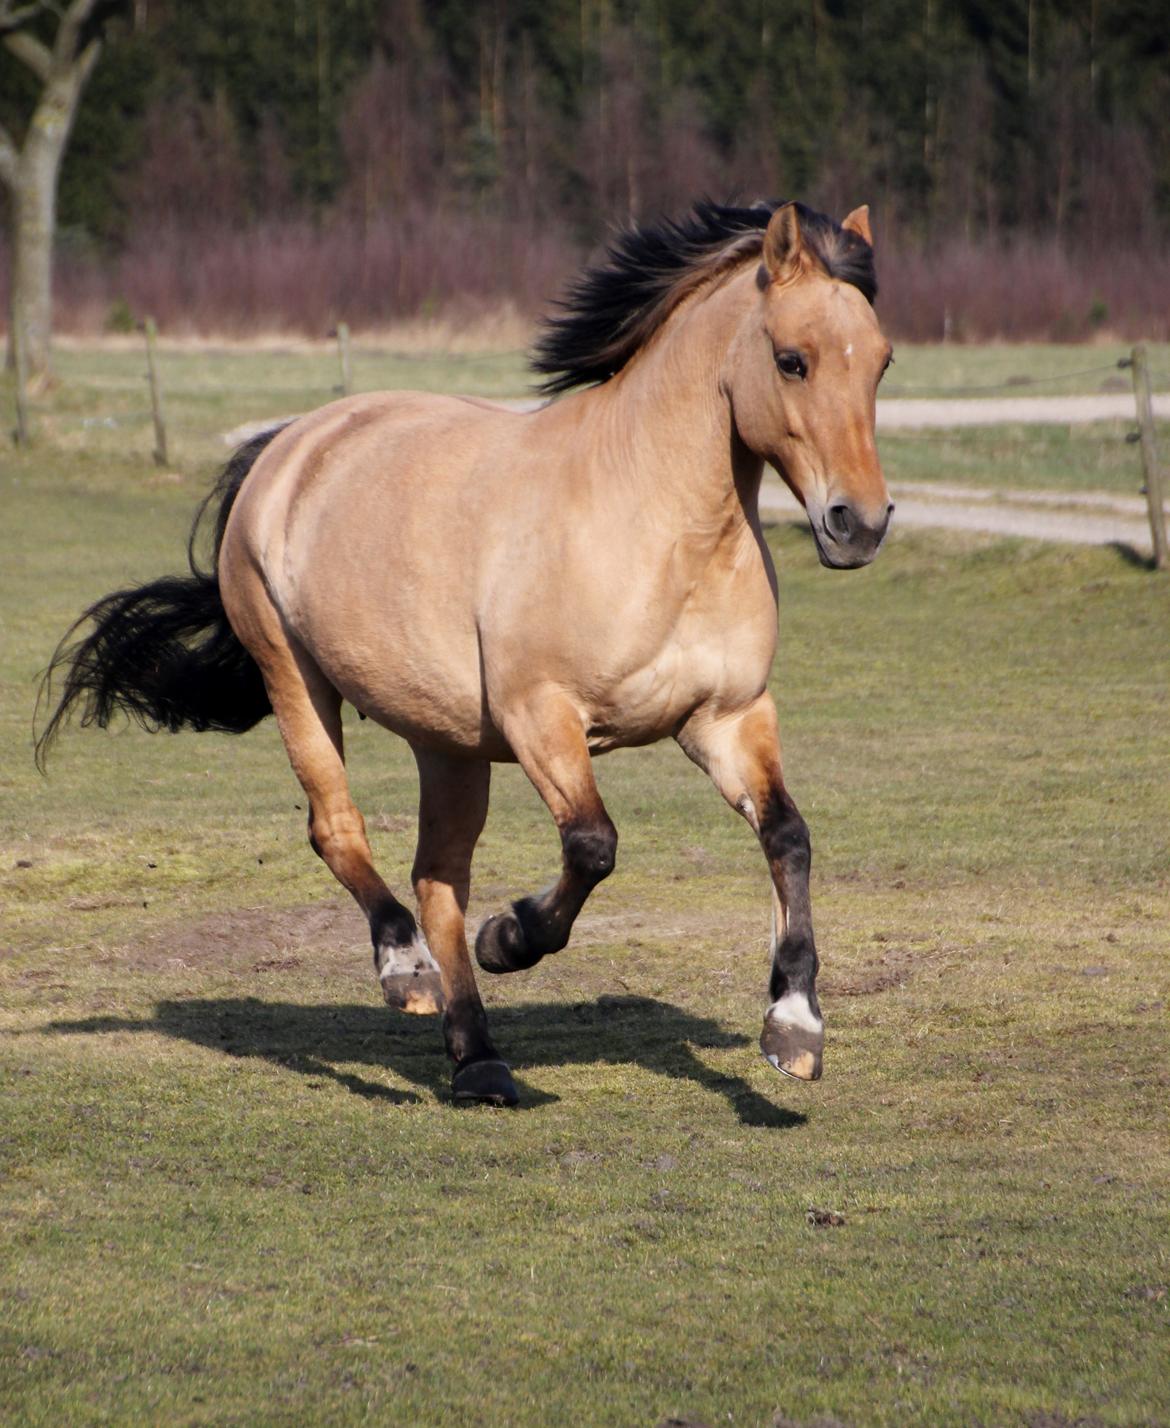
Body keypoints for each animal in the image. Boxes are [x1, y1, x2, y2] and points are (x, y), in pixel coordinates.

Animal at [38, 201, 897, 1108]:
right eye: (792, 360)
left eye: (882, 361)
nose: (860, 523)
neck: (656, 527)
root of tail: (290, 444)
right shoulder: (541, 718)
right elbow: (593, 845)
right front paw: (511, 935)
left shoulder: (726, 718)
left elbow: (788, 836)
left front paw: (794, 1026)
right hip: (296, 681)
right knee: (340, 830)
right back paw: (407, 970)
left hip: (445, 741)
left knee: (436, 877)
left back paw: (476, 1055)